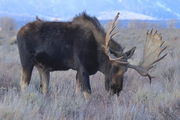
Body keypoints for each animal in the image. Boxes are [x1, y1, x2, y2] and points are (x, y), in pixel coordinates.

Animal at [16, 12, 166, 99]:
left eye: (125, 71)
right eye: (114, 67)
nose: (116, 90)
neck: (98, 56)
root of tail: (19, 32)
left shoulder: (78, 71)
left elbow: (78, 93)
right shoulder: (83, 68)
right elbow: (88, 94)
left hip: (43, 68)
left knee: (44, 88)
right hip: (26, 62)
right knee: (23, 84)